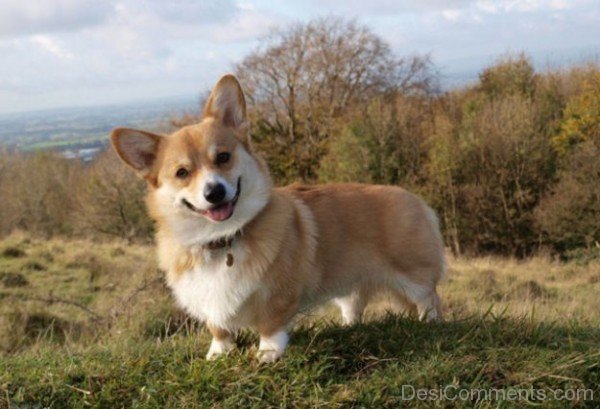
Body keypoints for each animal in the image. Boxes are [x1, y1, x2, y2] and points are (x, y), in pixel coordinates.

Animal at [109, 73, 446, 360]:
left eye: (223, 157)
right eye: (182, 173)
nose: (215, 192)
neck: (221, 240)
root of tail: (415, 199)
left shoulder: (278, 295)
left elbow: (271, 325)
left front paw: (267, 354)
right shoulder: (209, 301)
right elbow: (219, 329)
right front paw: (218, 353)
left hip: (413, 274)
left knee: (429, 300)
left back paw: (429, 323)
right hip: (350, 282)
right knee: (354, 305)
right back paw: (350, 327)